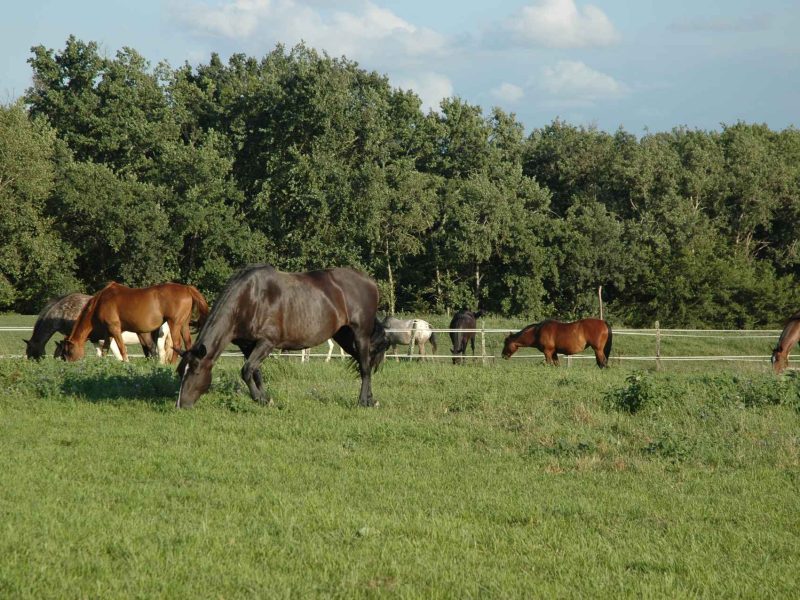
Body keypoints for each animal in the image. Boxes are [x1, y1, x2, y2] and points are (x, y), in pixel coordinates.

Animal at [59, 282, 209, 363]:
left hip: (175, 324)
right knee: (188, 344)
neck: (101, 301)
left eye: (69, 351)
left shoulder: (115, 329)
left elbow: (122, 348)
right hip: (183, 325)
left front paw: (126, 363)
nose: (68, 363)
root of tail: (187, 288)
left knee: (177, 345)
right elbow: (106, 349)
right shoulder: (109, 332)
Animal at [175, 265, 389, 408]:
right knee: (366, 363)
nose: (180, 405)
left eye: (195, 371)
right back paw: (371, 400)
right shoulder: (247, 345)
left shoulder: (267, 342)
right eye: (179, 372)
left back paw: (362, 402)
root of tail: (370, 282)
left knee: (364, 367)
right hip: (343, 335)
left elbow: (246, 371)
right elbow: (255, 372)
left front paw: (260, 399)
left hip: (360, 334)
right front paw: (266, 399)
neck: (249, 299)